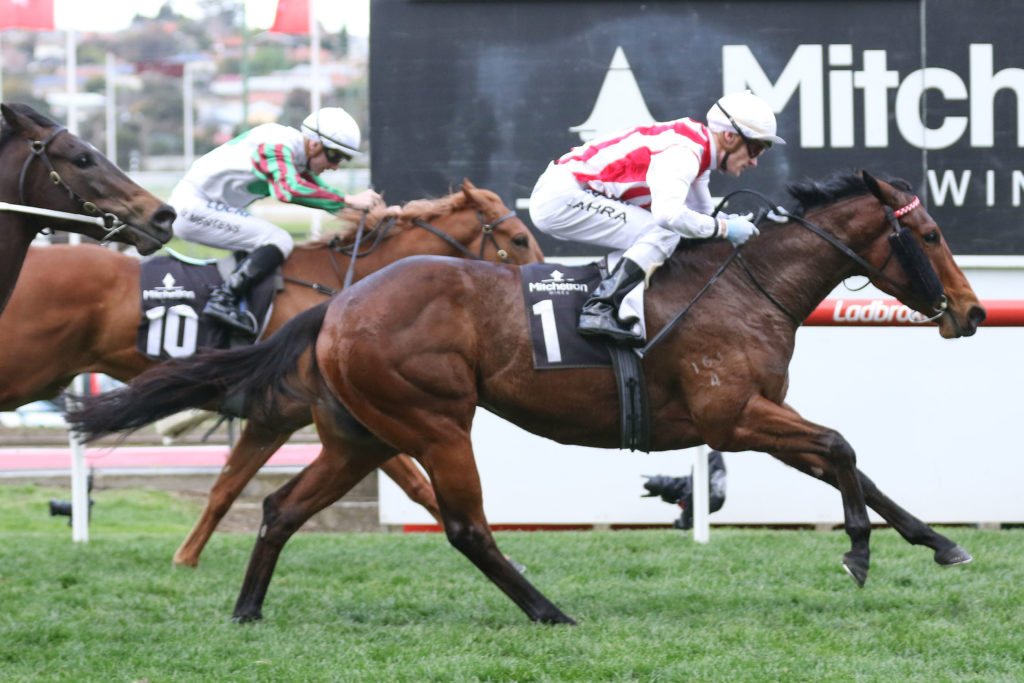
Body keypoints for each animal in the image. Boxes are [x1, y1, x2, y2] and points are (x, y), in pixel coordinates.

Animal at [2, 181, 543, 565]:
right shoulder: (334, 413)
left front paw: (185, 557)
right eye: (519, 238)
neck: (336, 287)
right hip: (23, 371)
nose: (535, 278)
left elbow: (225, 488)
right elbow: (418, 485)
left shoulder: (273, 418)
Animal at [66, 170, 986, 624]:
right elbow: (840, 446)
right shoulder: (733, 415)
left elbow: (855, 461)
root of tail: (342, 301)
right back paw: (548, 610)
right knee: (466, 525)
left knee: (280, 507)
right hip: (435, 422)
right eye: (928, 233)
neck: (745, 286)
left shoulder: (752, 416)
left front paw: (937, 541)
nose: (974, 311)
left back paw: (248, 609)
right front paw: (860, 552)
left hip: (358, 434)